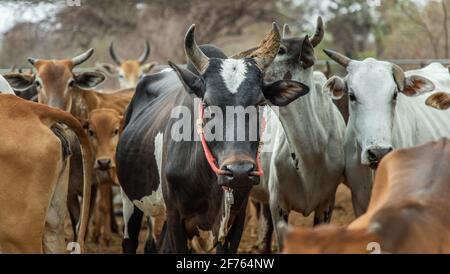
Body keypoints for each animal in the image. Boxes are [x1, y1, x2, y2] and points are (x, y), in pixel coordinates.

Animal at [116, 23, 310, 253]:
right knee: (130, 240)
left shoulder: (236, 220)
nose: (239, 171)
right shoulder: (175, 218)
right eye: (207, 104)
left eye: (260, 103)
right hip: (129, 200)